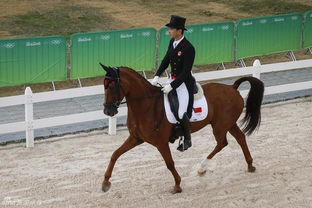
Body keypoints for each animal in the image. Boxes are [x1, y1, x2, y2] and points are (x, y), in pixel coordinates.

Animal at [99, 63, 264, 193]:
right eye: (104, 86)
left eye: (112, 86)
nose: (108, 111)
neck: (147, 105)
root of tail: (232, 87)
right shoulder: (135, 138)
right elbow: (115, 154)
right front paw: (105, 183)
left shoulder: (161, 143)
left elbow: (169, 163)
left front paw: (177, 185)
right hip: (227, 123)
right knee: (240, 138)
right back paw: (250, 165)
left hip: (220, 126)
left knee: (222, 143)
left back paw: (202, 168)